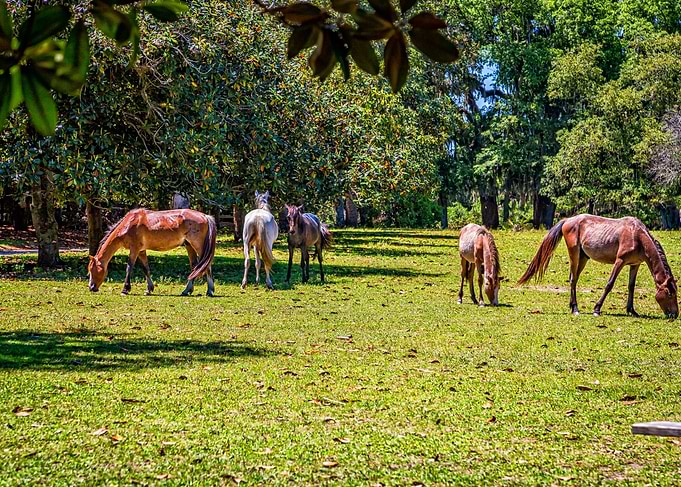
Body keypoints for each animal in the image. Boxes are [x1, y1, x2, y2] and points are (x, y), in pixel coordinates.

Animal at [88, 208, 217, 296]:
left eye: (92, 269)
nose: (91, 287)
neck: (129, 224)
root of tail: (205, 216)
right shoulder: (141, 251)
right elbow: (146, 268)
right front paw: (149, 289)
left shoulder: (134, 249)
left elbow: (129, 268)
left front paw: (125, 289)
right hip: (189, 246)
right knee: (195, 266)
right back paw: (187, 290)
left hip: (198, 246)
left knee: (207, 266)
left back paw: (209, 291)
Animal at [518, 214, 678, 318]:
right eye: (670, 293)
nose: (675, 314)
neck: (637, 236)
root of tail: (568, 220)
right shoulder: (620, 261)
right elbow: (609, 284)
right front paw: (597, 309)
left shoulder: (635, 264)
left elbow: (631, 286)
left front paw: (632, 310)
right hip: (574, 254)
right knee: (572, 279)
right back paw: (575, 309)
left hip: (583, 258)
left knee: (574, 279)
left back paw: (572, 306)